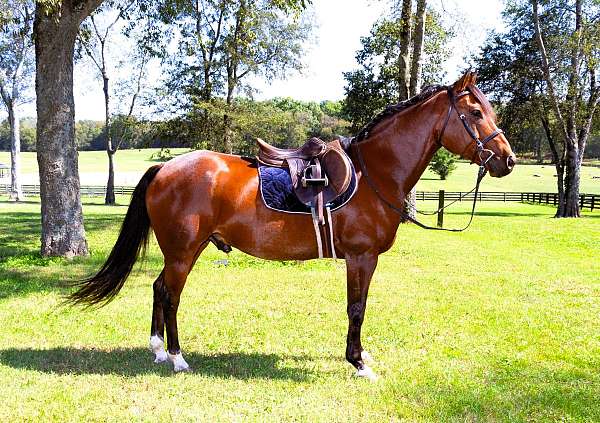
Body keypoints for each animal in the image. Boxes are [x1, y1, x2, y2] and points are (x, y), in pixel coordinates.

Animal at [70, 72, 516, 380]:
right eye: (475, 113)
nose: (508, 160)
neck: (373, 174)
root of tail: (165, 168)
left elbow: (358, 307)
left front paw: (360, 356)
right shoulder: (361, 257)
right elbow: (357, 308)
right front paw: (358, 363)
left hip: (183, 251)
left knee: (158, 288)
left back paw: (159, 349)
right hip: (183, 251)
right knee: (171, 294)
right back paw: (178, 358)